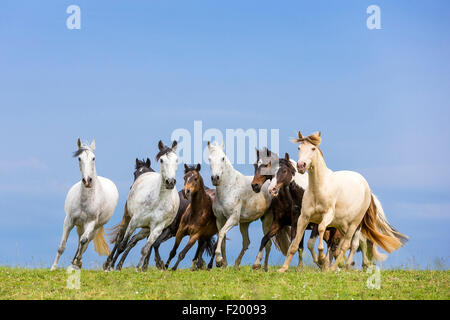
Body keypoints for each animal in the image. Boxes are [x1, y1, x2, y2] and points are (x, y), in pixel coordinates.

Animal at [50, 139, 119, 268]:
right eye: (79, 158)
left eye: (93, 158)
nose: (87, 181)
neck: (85, 201)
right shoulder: (69, 221)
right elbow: (62, 246)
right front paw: (53, 268)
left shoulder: (91, 223)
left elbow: (83, 242)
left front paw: (77, 261)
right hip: (79, 226)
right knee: (79, 241)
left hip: (94, 228)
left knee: (84, 242)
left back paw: (77, 261)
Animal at [278, 131, 408, 272]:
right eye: (299, 148)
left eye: (313, 148)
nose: (301, 165)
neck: (318, 188)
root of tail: (366, 187)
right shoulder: (304, 217)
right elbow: (294, 245)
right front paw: (283, 268)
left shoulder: (326, 217)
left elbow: (321, 233)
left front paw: (322, 259)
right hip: (342, 225)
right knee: (345, 245)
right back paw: (339, 266)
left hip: (355, 224)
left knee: (349, 244)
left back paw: (336, 267)